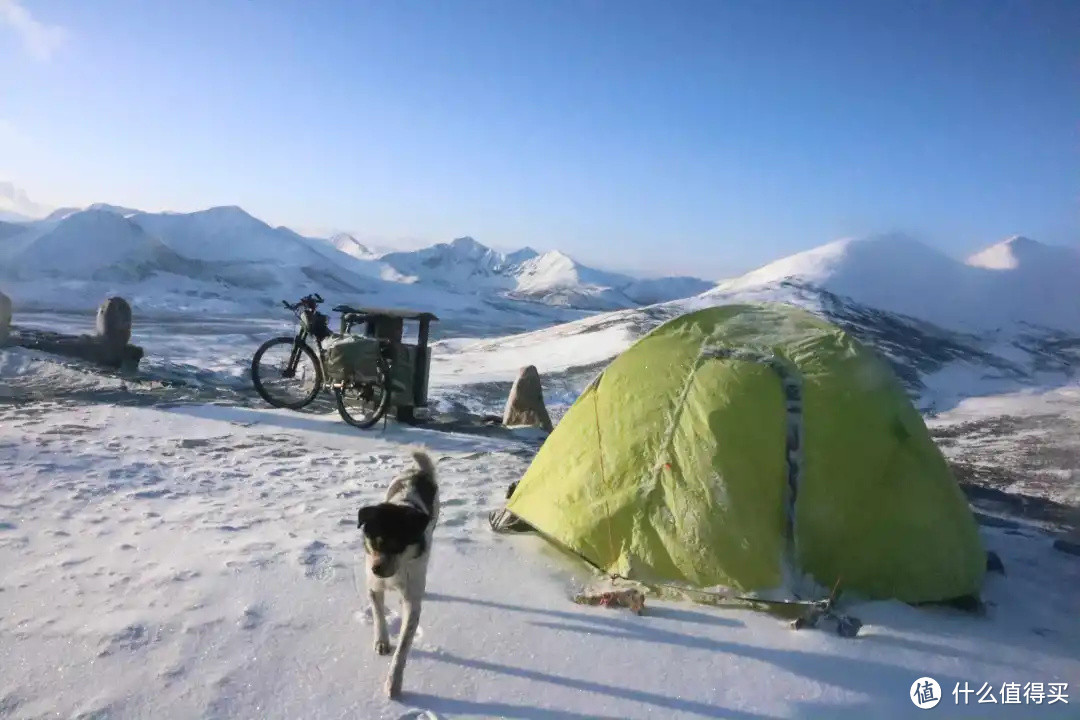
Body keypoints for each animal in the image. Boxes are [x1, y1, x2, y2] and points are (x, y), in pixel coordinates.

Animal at [356, 451, 436, 699]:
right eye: (374, 541)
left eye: (398, 545)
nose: (377, 569)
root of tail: (418, 471)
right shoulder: (373, 586)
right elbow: (379, 614)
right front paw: (382, 642)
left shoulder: (411, 600)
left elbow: (403, 648)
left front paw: (394, 682)